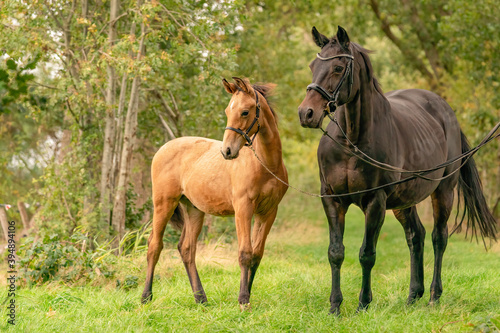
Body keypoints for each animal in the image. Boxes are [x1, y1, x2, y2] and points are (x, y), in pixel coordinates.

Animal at [141, 76, 290, 308]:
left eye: (245, 112)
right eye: (228, 111)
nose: (227, 151)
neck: (265, 164)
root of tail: (162, 149)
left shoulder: (268, 212)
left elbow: (257, 255)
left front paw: (247, 295)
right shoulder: (243, 209)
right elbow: (245, 253)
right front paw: (243, 300)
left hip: (194, 210)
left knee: (187, 249)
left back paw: (200, 298)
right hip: (164, 203)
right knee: (154, 246)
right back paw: (146, 297)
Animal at [296, 26, 496, 314]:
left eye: (338, 67)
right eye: (313, 66)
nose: (306, 113)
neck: (350, 142)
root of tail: (447, 113)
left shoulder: (375, 201)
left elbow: (367, 254)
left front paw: (363, 304)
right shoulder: (332, 199)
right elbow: (335, 252)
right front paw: (334, 307)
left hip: (443, 192)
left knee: (438, 238)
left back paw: (434, 295)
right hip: (404, 202)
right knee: (416, 236)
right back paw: (413, 295)